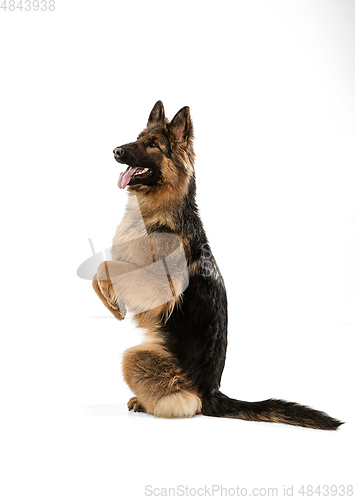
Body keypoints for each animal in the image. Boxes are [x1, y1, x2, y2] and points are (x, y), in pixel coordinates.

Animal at [93, 101, 344, 430]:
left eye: (153, 145)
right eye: (138, 138)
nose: (116, 151)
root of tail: (212, 392)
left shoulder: (160, 289)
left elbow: (105, 266)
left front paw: (111, 301)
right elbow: (107, 267)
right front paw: (110, 300)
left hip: (136, 358)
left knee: (184, 403)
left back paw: (150, 403)